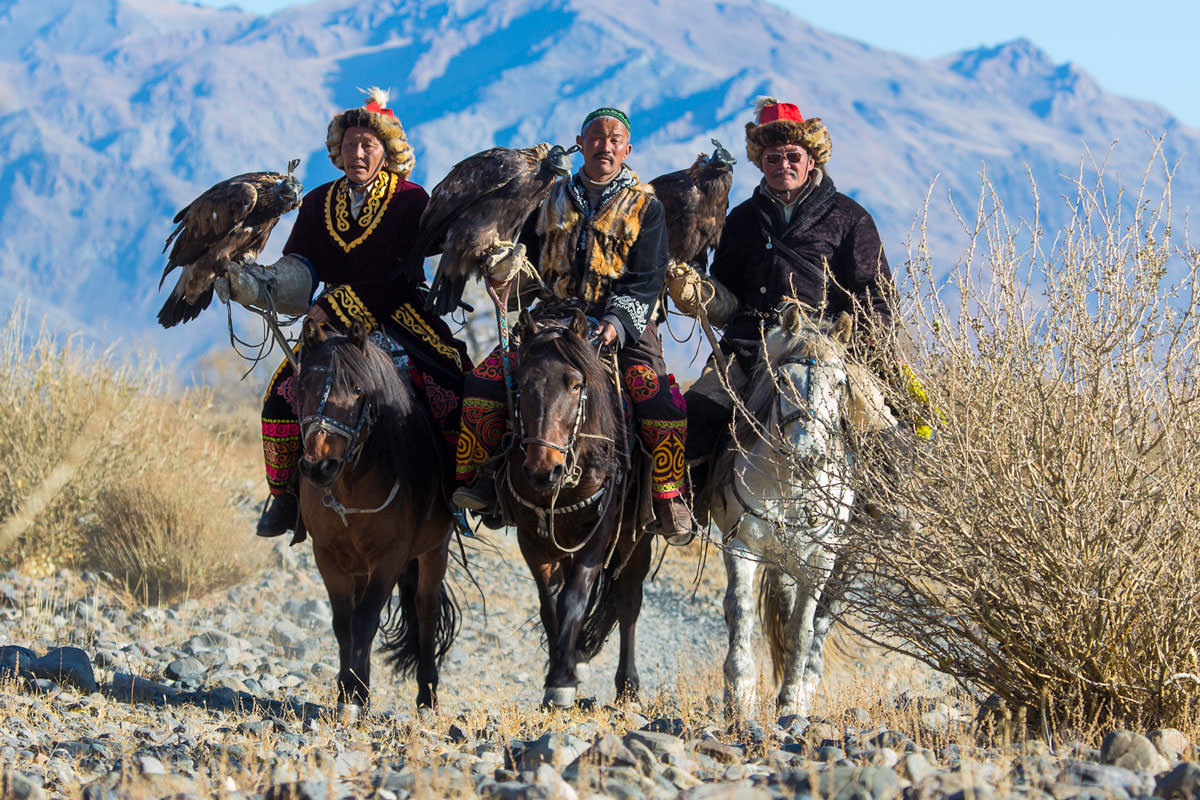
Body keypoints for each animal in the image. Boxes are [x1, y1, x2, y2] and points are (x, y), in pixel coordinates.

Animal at [292, 316, 456, 710]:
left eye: (357, 390)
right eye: (303, 385)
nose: (319, 466)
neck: (350, 488)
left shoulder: (389, 557)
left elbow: (365, 620)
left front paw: (354, 697)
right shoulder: (327, 556)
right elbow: (343, 623)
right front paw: (349, 691)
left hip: (434, 550)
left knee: (426, 608)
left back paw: (427, 695)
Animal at [504, 309, 657, 710]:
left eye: (575, 385)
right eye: (522, 383)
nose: (543, 470)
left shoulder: (599, 534)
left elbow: (575, 598)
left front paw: (561, 682)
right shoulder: (532, 536)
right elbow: (551, 602)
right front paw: (563, 671)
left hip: (635, 540)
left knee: (628, 602)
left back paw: (628, 689)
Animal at [710, 303, 883, 714]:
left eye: (841, 384)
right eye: (784, 380)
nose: (810, 455)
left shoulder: (822, 558)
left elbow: (803, 628)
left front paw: (790, 701)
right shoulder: (741, 545)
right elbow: (740, 611)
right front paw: (739, 693)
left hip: (850, 555)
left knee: (826, 617)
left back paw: (807, 684)